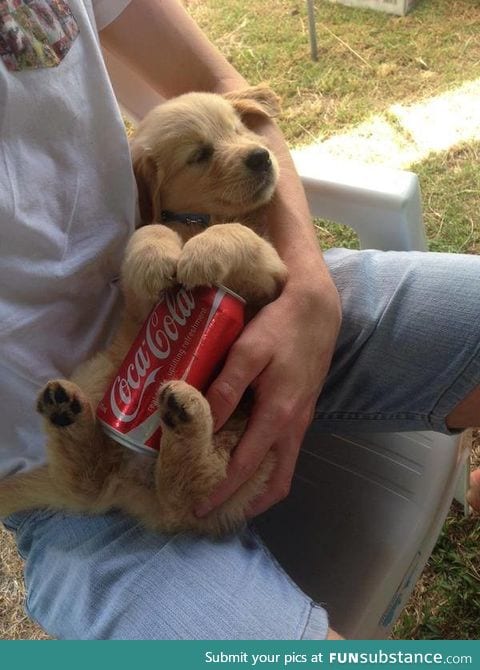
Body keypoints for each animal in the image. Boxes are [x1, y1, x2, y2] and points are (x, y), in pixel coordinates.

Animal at [0, 85, 286, 536]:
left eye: (238, 128)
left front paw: (204, 252)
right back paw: (70, 412)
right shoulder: (138, 301)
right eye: (199, 155)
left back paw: (183, 415)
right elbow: (150, 232)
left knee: (189, 490)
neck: (198, 220)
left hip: (245, 450)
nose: (260, 156)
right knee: (93, 482)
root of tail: (133, 485)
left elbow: (239, 233)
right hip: (102, 371)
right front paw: (158, 257)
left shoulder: (270, 276)